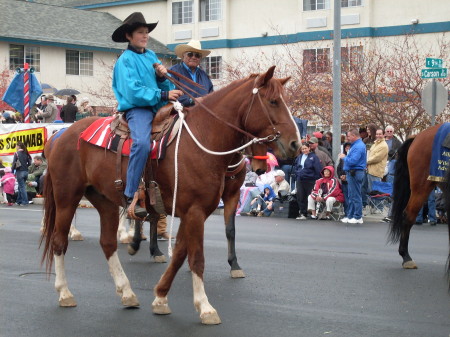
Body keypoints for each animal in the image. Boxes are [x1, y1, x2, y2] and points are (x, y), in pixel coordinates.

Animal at [38, 66, 298, 322]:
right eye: (273, 101)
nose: (295, 144)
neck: (202, 139)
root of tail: (60, 136)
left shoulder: (194, 212)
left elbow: (181, 253)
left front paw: (161, 297)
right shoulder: (194, 212)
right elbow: (196, 257)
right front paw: (205, 307)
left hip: (104, 201)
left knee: (108, 243)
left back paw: (127, 292)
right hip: (67, 197)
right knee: (59, 241)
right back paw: (65, 293)